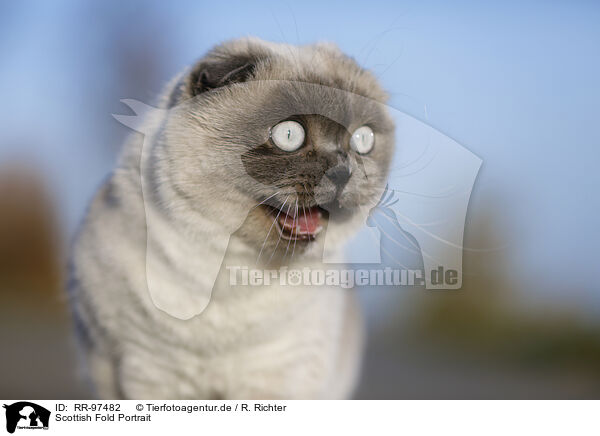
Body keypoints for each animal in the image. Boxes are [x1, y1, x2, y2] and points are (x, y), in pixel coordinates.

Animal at [68, 37, 396, 398]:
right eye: (289, 135)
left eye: (362, 140)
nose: (343, 172)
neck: (235, 269)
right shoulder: (152, 375)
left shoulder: (277, 379)